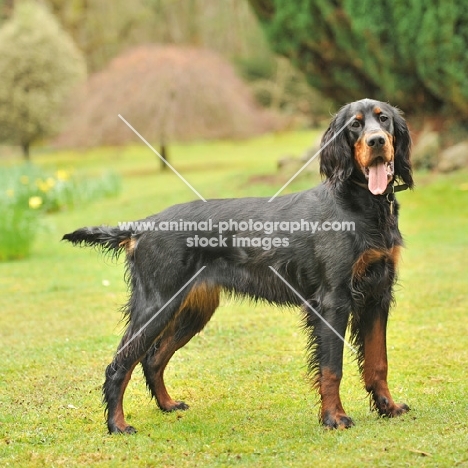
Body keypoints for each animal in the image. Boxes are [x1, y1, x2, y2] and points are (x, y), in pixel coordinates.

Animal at [63, 99, 414, 436]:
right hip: (157, 303)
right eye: (355, 124)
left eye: (383, 119)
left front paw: (388, 407)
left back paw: (167, 404)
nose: (377, 141)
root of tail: (143, 226)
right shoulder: (333, 301)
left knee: (153, 359)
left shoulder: (378, 294)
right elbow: (332, 368)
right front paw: (334, 418)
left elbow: (378, 361)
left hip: (192, 308)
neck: (360, 203)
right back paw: (117, 425)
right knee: (119, 364)